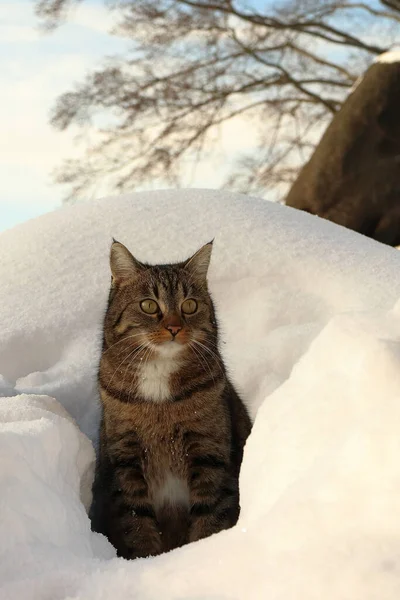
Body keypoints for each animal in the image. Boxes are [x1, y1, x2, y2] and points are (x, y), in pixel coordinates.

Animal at [91, 239, 250, 556]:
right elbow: (135, 519)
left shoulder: (208, 449)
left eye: (190, 305)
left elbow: (211, 511)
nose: (175, 327)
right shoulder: (125, 456)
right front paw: (145, 558)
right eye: (149, 305)